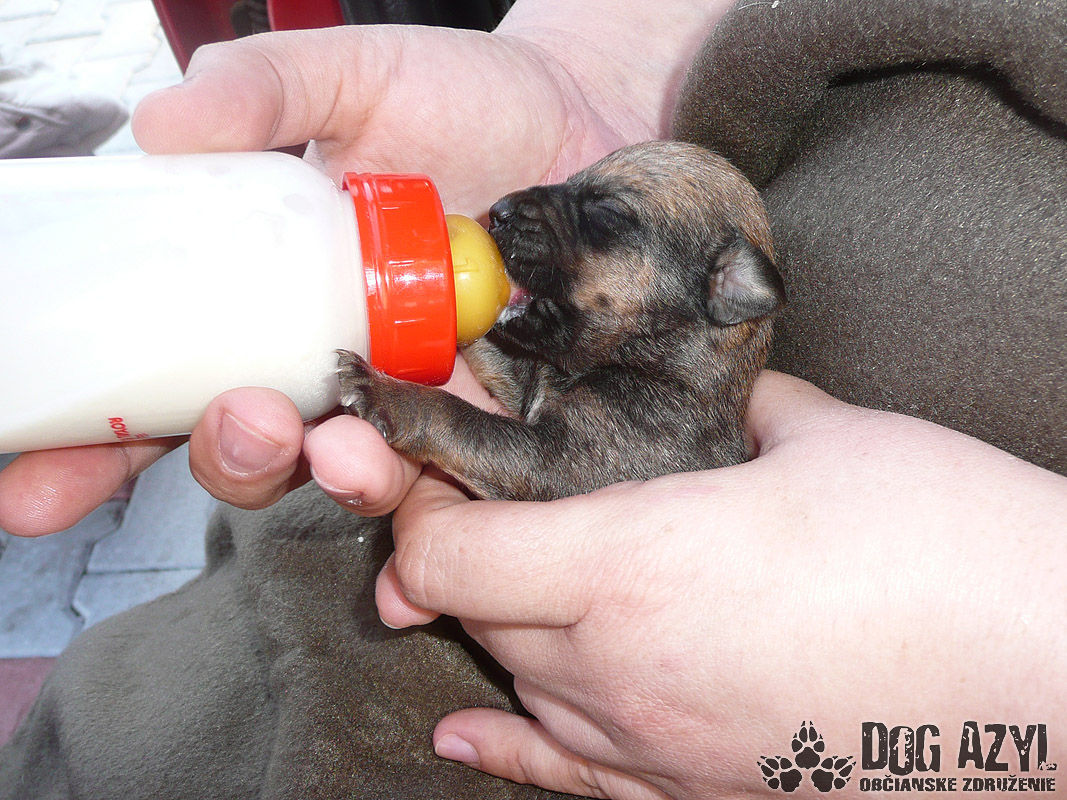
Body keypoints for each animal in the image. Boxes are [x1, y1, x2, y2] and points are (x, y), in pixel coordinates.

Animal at [337, 140, 786, 500]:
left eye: (606, 211)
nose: (496, 211)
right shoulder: (525, 375)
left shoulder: (563, 458)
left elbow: (467, 422)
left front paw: (385, 393)